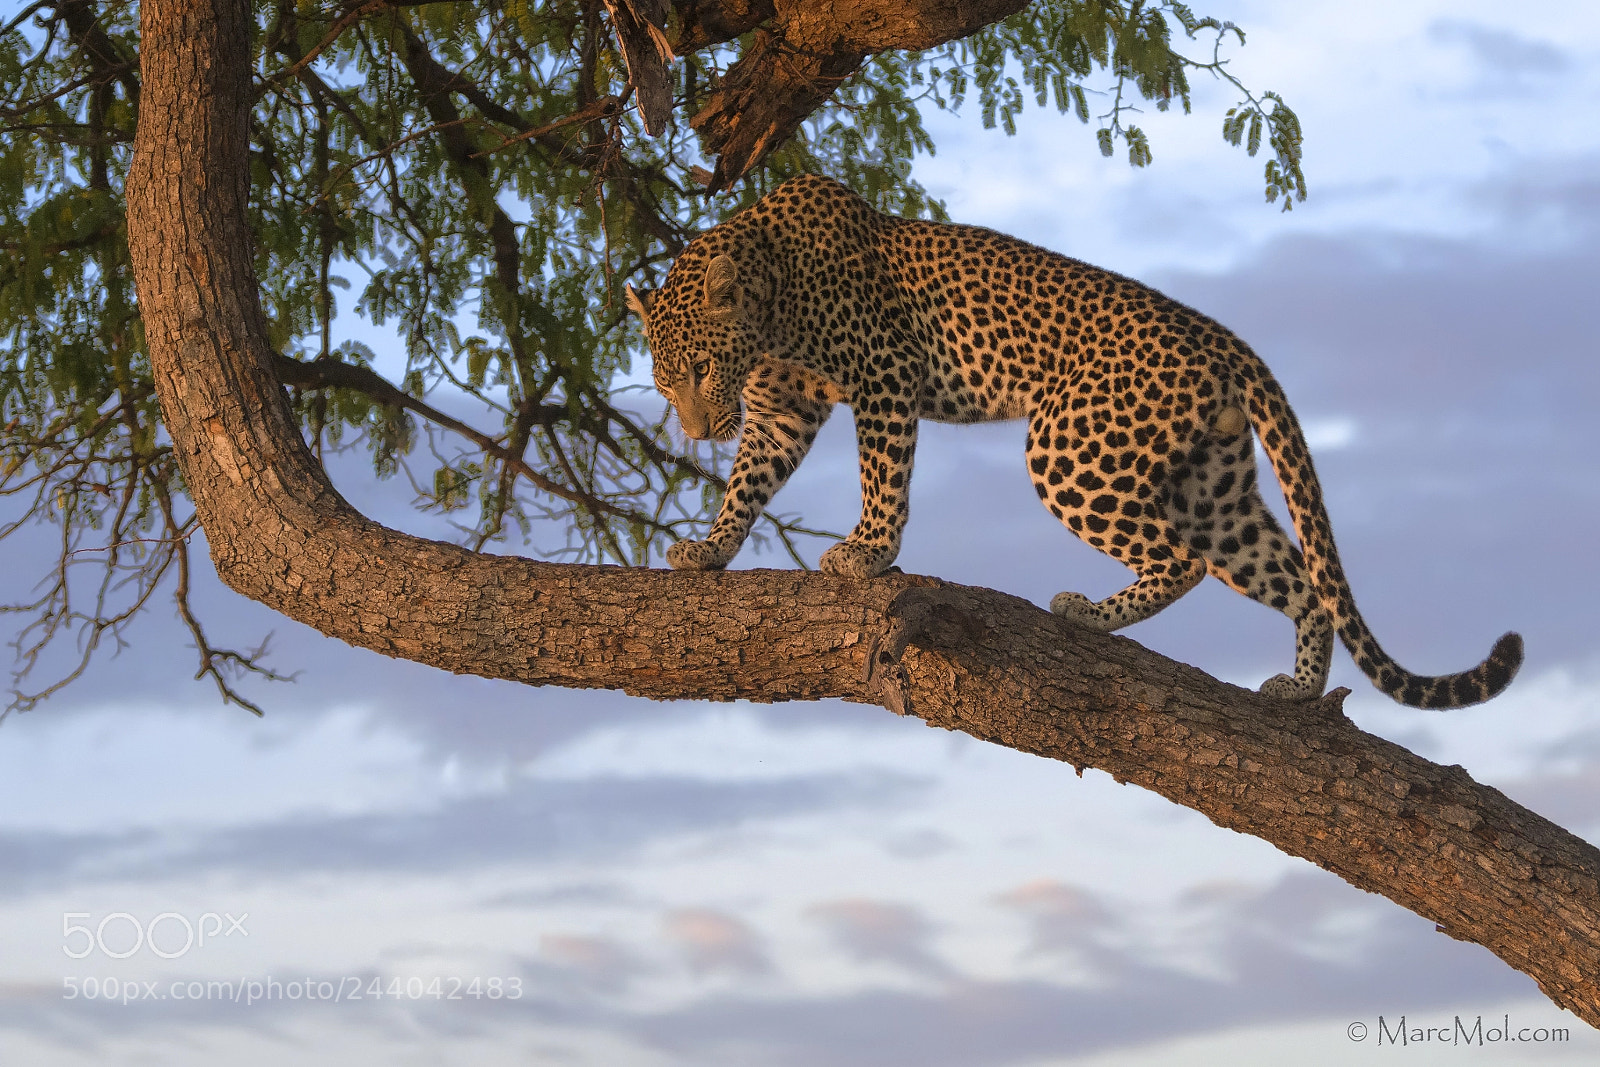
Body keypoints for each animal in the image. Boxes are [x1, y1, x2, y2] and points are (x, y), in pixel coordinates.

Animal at [625, 174, 1522, 708]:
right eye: (666, 383)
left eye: (703, 367)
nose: (697, 428)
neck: (770, 296)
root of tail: (1221, 337)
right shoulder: (781, 407)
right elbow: (747, 481)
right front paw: (708, 549)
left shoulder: (885, 372)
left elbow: (882, 474)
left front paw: (866, 553)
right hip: (1214, 483)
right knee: (1295, 575)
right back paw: (1299, 688)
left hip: (1068, 445)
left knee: (1182, 559)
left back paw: (1089, 614)